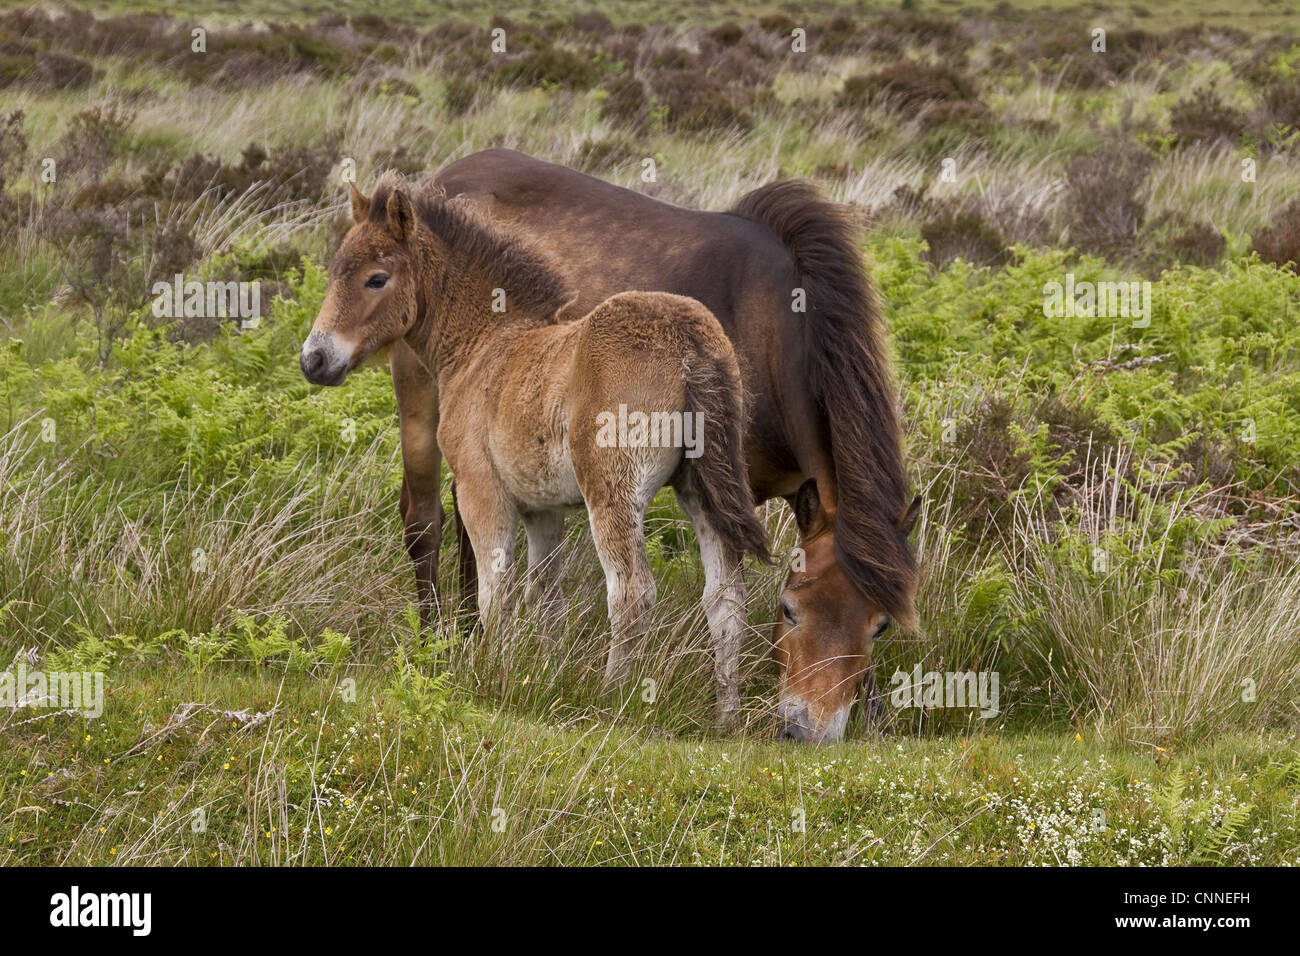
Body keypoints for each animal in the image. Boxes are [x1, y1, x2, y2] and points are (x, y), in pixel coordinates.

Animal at [299, 173, 771, 727]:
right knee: (725, 599)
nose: (314, 359)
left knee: (631, 592)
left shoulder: (481, 491)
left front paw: (491, 675)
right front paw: (542, 673)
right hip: (702, 489)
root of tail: (689, 341)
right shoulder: (543, 510)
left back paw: (612, 696)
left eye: (376, 279)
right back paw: (727, 717)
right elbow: (545, 597)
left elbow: (494, 589)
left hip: (614, 492)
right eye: (335, 271)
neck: (484, 344)